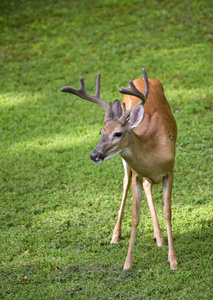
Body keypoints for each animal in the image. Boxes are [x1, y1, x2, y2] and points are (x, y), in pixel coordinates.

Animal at [61, 69, 178, 270]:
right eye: (101, 132)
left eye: (118, 133)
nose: (94, 155)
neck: (154, 150)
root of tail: (139, 79)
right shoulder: (138, 174)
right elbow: (135, 217)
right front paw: (127, 263)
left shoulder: (169, 171)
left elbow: (167, 213)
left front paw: (173, 261)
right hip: (127, 166)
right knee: (126, 182)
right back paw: (116, 235)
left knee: (146, 185)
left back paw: (159, 237)